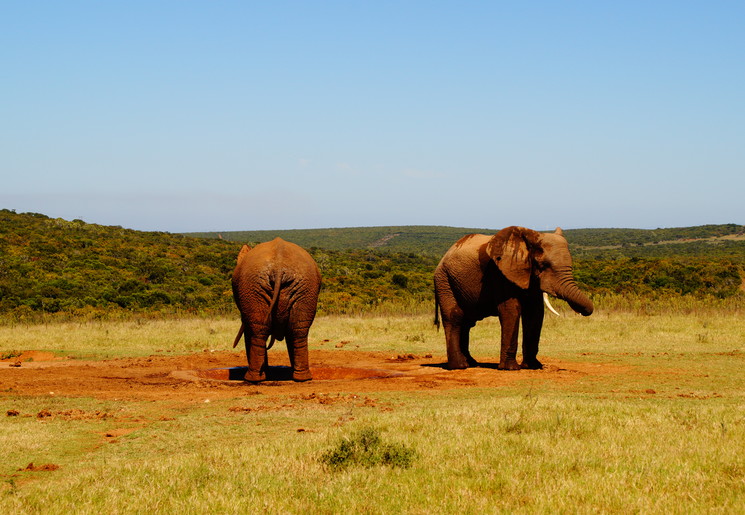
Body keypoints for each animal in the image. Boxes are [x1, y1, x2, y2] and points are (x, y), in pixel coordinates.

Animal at [231, 238, 321, 382]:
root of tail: (279, 267)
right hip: (305, 288)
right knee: (298, 330)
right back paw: (302, 378)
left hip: (254, 287)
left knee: (258, 330)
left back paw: (252, 379)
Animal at [434, 226, 593, 371]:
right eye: (544, 265)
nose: (582, 312)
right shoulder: (500, 273)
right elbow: (511, 311)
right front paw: (511, 368)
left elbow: (535, 313)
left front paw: (534, 366)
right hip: (444, 281)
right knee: (455, 317)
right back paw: (459, 366)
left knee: (467, 322)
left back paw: (471, 363)